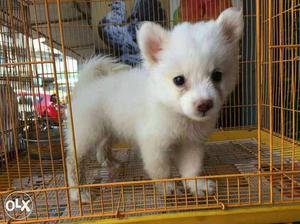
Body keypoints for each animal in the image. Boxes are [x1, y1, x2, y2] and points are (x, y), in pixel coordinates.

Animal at [66, 7, 244, 202]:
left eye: (217, 75)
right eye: (179, 80)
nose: (204, 104)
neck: (177, 113)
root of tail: (87, 83)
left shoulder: (191, 143)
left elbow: (191, 168)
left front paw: (196, 185)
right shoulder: (154, 144)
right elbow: (161, 170)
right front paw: (168, 187)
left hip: (107, 128)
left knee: (102, 146)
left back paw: (110, 162)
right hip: (86, 132)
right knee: (73, 161)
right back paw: (78, 192)